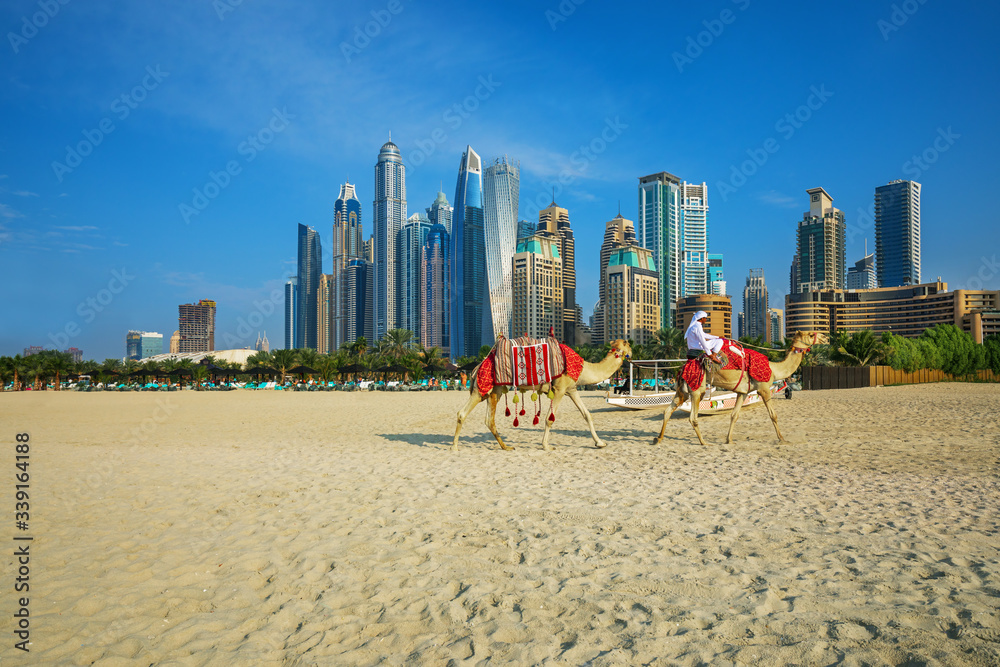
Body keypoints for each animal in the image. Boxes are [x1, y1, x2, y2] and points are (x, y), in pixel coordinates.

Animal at [453, 340, 633, 451]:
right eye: (629, 345)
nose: (632, 353)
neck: (583, 368)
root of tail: (477, 367)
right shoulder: (560, 389)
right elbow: (549, 419)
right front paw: (546, 446)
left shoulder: (572, 389)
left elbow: (587, 415)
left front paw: (600, 443)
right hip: (482, 388)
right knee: (462, 413)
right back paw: (454, 446)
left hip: (494, 390)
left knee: (489, 420)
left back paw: (506, 447)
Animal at [653, 331, 827, 447]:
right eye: (811, 334)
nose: (826, 337)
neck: (774, 369)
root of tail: (683, 368)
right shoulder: (764, 389)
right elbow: (773, 415)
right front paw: (782, 439)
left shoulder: (743, 392)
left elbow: (734, 415)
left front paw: (728, 440)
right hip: (697, 390)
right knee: (692, 417)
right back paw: (703, 442)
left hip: (681, 390)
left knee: (667, 410)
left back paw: (658, 439)